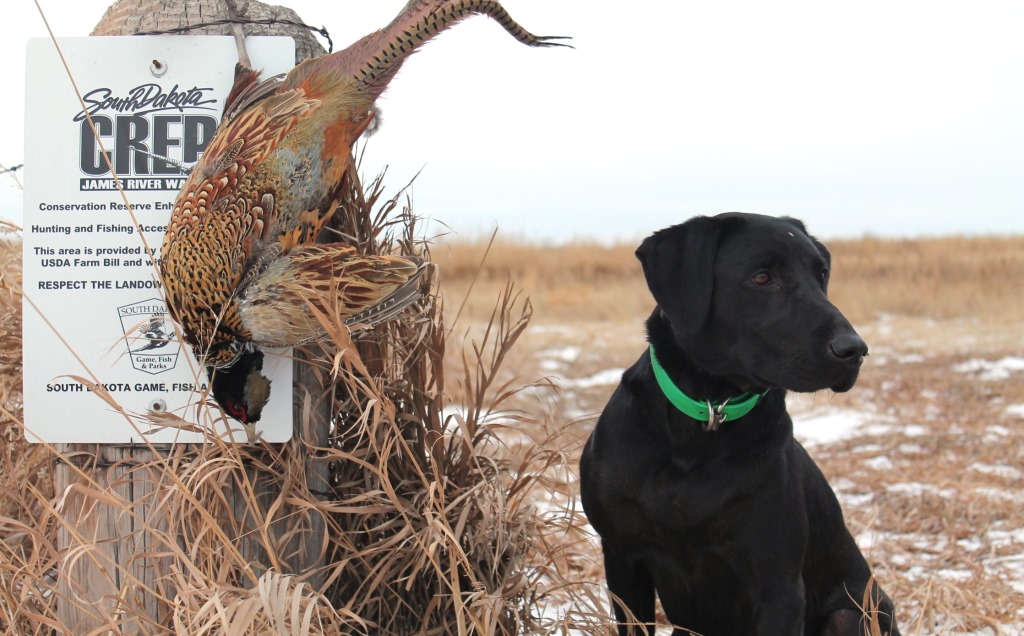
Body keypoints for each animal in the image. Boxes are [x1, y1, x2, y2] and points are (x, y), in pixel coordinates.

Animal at [581, 213, 901, 634]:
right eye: (762, 277)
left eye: (822, 274)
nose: (854, 350)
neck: (704, 423)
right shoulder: (623, 559)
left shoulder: (777, 586)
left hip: (850, 614)